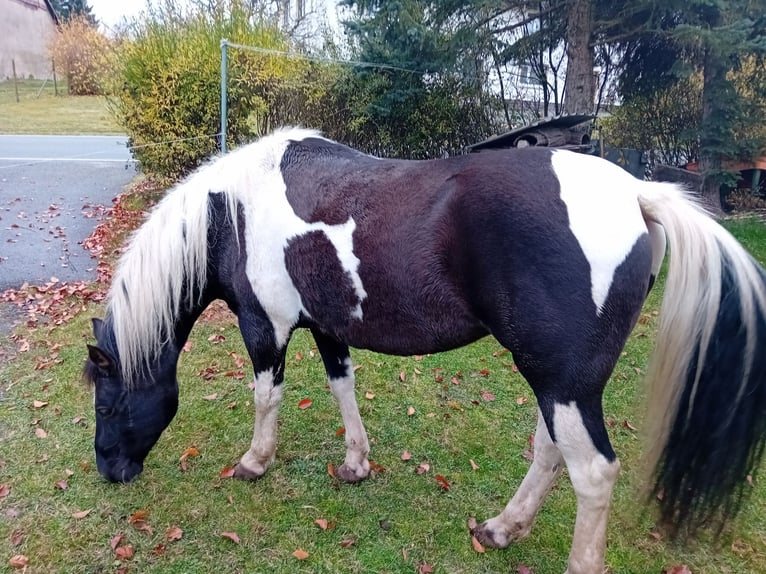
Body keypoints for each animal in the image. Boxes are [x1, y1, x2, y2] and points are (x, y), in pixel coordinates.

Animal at [82, 128, 766, 574]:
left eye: (108, 405)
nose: (110, 470)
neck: (231, 213)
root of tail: (636, 194)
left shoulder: (265, 325)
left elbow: (265, 396)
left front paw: (254, 462)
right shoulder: (327, 325)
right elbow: (342, 386)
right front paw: (356, 463)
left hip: (563, 383)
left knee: (592, 472)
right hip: (560, 381)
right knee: (550, 451)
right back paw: (502, 529)